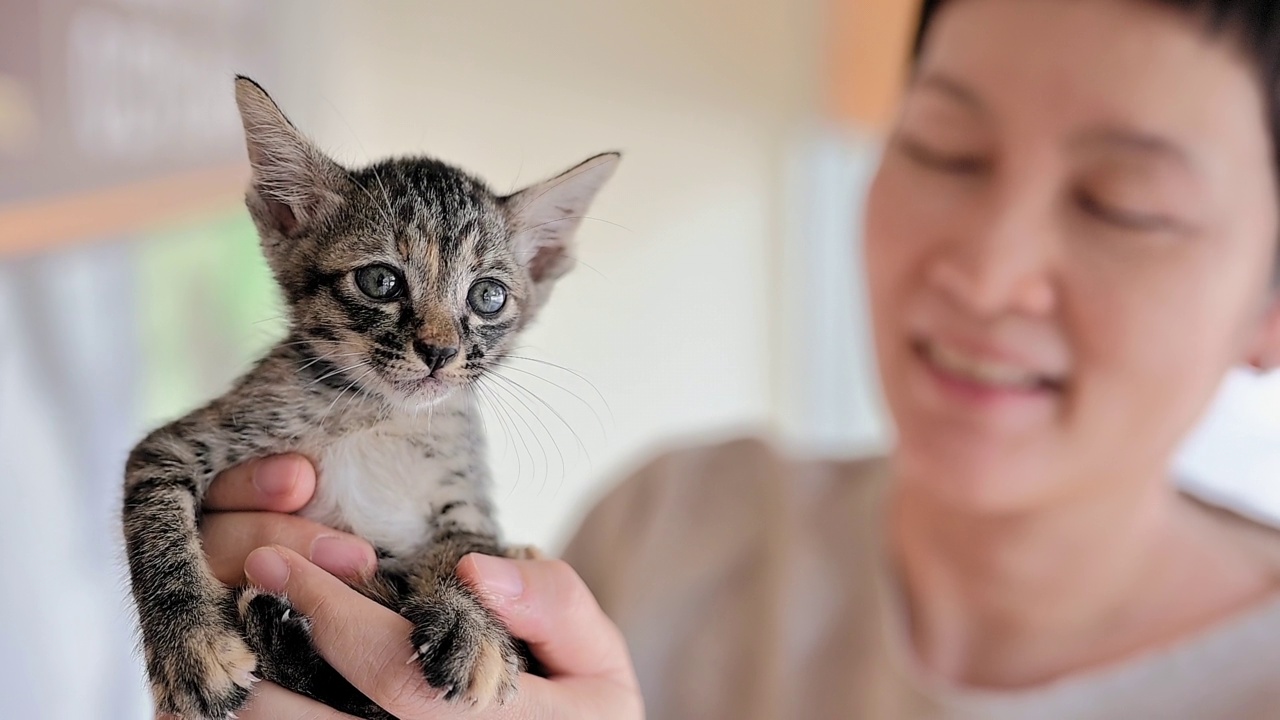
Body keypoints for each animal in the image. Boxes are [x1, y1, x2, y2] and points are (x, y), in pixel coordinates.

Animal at [120, 74, 619, 717]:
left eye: (487, 296)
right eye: (380, 281)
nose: (439, 351)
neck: (382, 417)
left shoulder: (465, 501)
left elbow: (472, 554)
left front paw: (472, 625)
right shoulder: (170, 447)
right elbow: (158, 528)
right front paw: (190, 646)